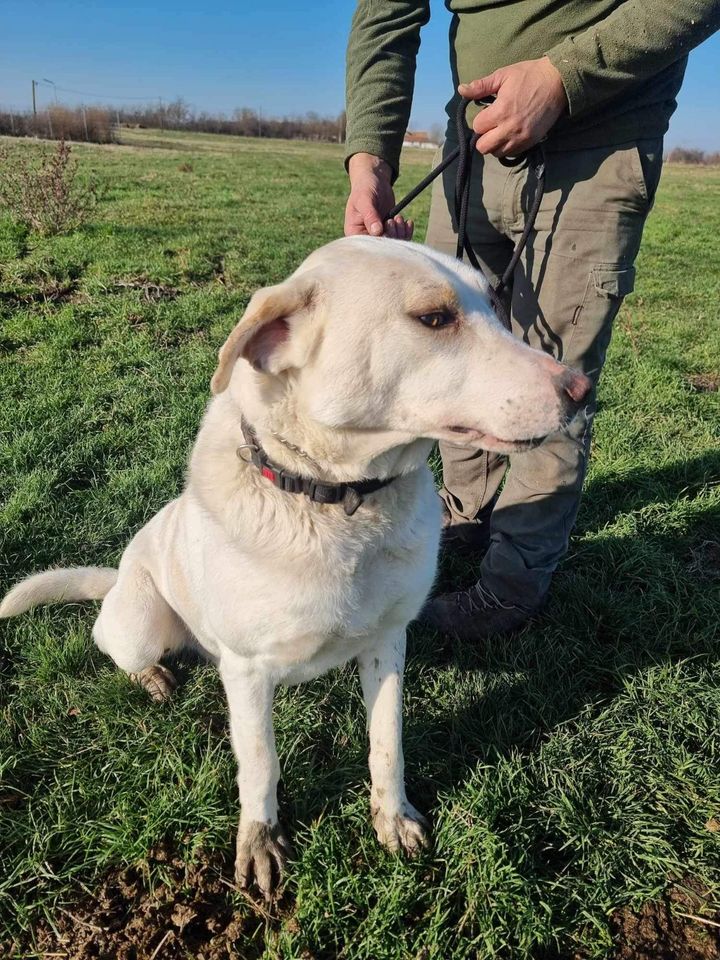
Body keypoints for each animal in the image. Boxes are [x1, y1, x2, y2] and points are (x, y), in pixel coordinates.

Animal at [0, 236, 588, 896]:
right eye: (435, 319)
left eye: (495, 303)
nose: (582, 387)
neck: (339, 502)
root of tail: (121, 574)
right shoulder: (248, 670)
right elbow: (260, 765)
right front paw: (260, 843)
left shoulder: (388, 642)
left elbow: (388, 742)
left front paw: (394, 818)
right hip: (142, 622)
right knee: (111, 640)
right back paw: (150, 675)